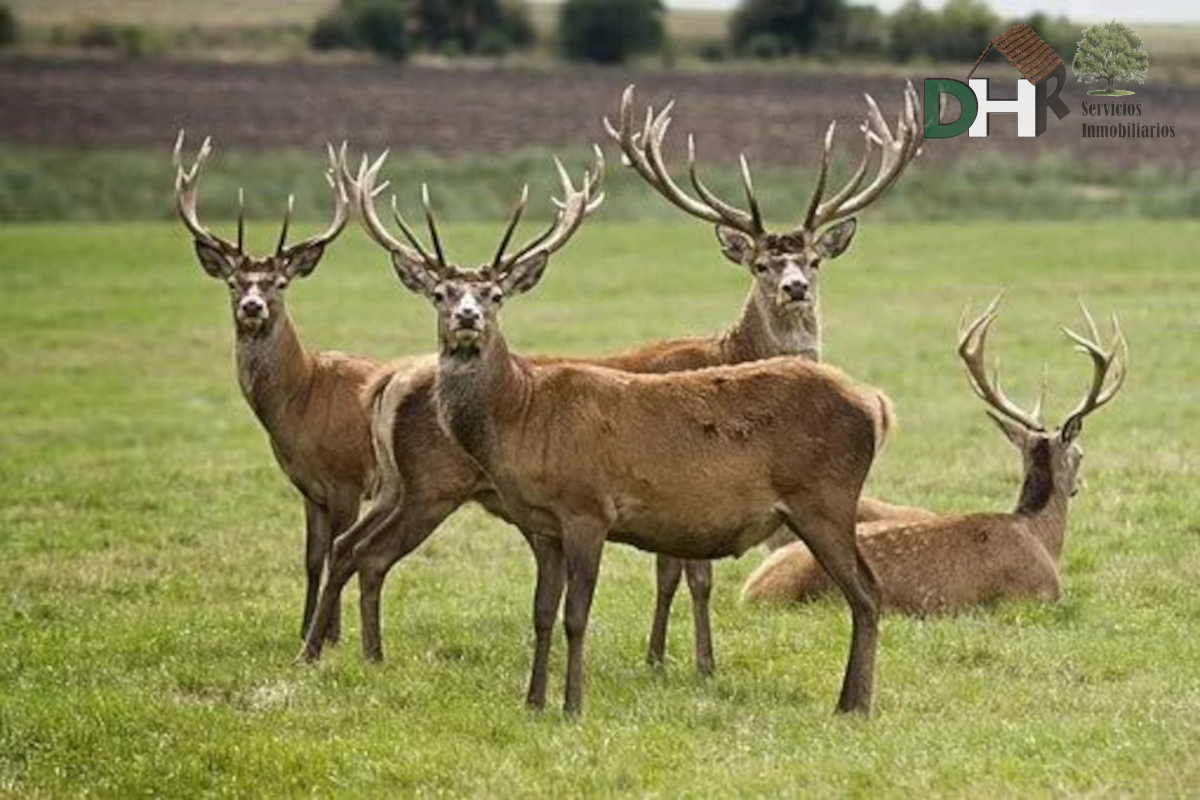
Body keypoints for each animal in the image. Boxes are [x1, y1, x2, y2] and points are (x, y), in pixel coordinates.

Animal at [175, 133, 391, 642]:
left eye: (280, 282)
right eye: (233, 282)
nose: (252, 306)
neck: (301, 401)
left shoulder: (348, 477)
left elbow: (337, 552)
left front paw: (330, 635)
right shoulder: (307, 486)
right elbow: (312, 558)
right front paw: (305, 628)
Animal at [297, 82, 916, 681]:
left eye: (814, 259)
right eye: (761, 264)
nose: (795, 288)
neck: (731, 349)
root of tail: (388, 380)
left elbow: (674, 574)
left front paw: (665, 658)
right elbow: (689, 577)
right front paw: (689, 663)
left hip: (397, 483)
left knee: (351, 547)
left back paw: (330, 648)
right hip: (431, 485)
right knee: (366, 553)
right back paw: (343, 651)